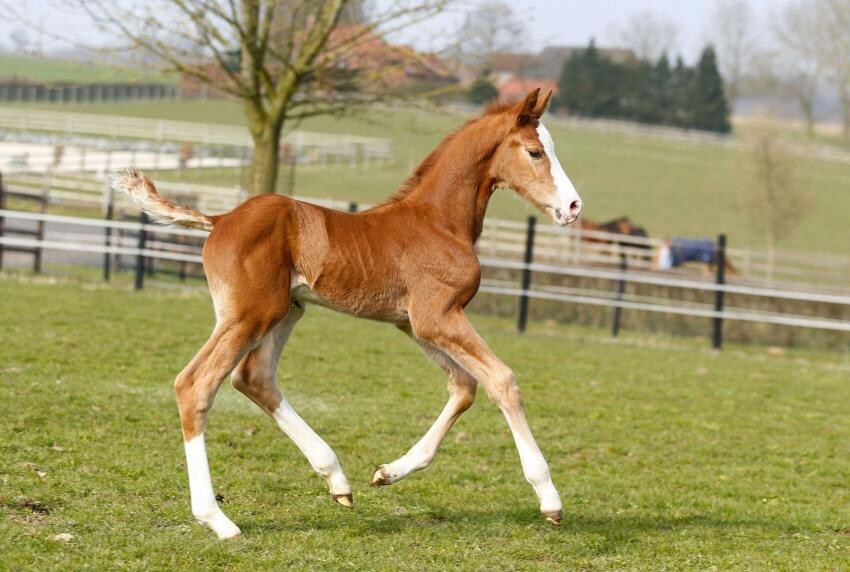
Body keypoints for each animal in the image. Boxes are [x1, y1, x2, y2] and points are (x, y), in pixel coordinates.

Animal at [112, 88, 583, 539]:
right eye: (535, 152)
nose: (574, 206)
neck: (438, 222)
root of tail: (220, 218)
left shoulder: (414, 324)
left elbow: (464, 387)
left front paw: (388, 472)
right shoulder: (437, 317)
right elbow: (503, 381)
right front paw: (550, 499)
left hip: (286, 311)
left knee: (254, 378)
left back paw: (336, 479)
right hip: (250, 314)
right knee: (196, 384)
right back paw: (218, 520)